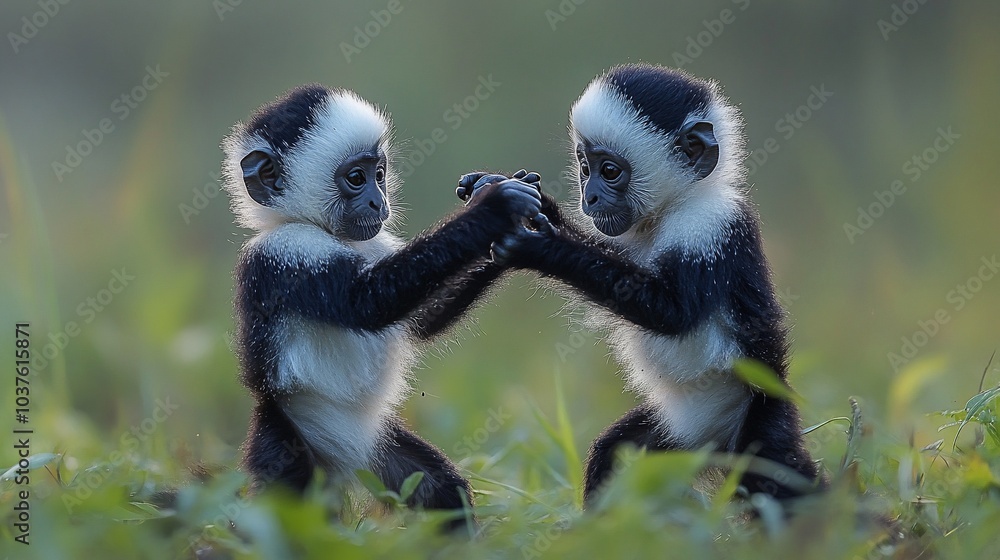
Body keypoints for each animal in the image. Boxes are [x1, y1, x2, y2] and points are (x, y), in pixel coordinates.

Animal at [220, 84, 542, 522]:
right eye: (356, 179)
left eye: (379, 175)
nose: (379, 202)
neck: (326, 232)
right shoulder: (288, 254)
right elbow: (370, 303)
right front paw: (494, 208)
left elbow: (417, 320)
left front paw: (508, 242)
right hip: (285, 435)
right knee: (290, 506)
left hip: (377, 448)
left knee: (439, 489)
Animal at [460, 63, 825, 507]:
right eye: (584, 167)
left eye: (610, 171)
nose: (589, 197)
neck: (671, 209)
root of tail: (716, 436)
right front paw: (524, 200)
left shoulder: (705, 225)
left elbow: (671, 313)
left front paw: (539, 247)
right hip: (675, 436)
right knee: (616, 453)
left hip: (760, 413)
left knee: (777, 477)